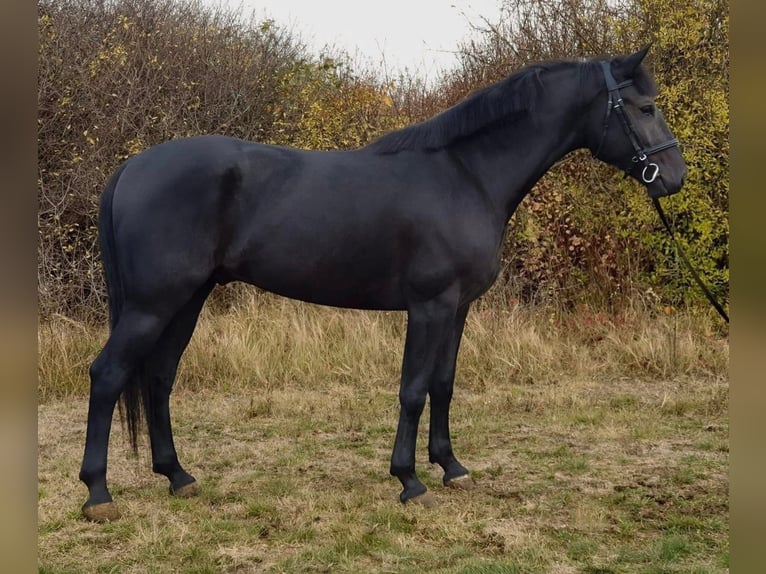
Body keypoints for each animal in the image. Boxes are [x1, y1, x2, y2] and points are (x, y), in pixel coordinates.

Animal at [79, 45, 686, 521]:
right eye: (644, 107)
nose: (675, 177)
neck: (466, 175)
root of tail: (132, 168)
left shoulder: (458, 308)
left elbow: (443, 383)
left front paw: (451, 467)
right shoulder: (430, 305)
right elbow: (413, 389)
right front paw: (409, 481)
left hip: (186, 300)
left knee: (159, 378)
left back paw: (178, 476)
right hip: (153, 304)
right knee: (108, 375)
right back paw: (98, 494)